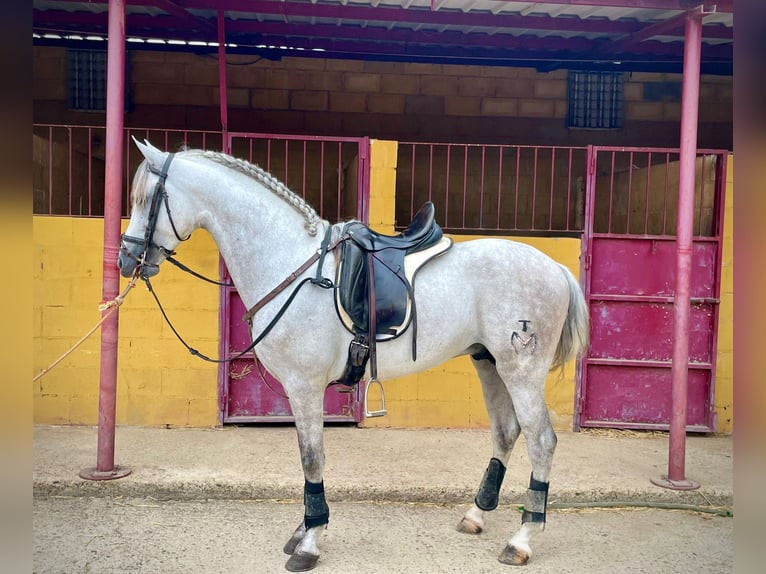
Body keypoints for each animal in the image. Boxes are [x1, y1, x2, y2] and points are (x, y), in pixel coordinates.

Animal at [117, 138, 592, 572]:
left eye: (146, 200)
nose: (126, 259)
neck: (291, 263)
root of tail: (554, 268)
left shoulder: (305, 386)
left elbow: (311, 457)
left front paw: (309, 542)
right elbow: (307, 457)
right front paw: (303, 531)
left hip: (521, 369)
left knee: (541, 440)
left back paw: (522, 538)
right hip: (488, 362)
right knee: (507, 432)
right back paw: (476, 515)